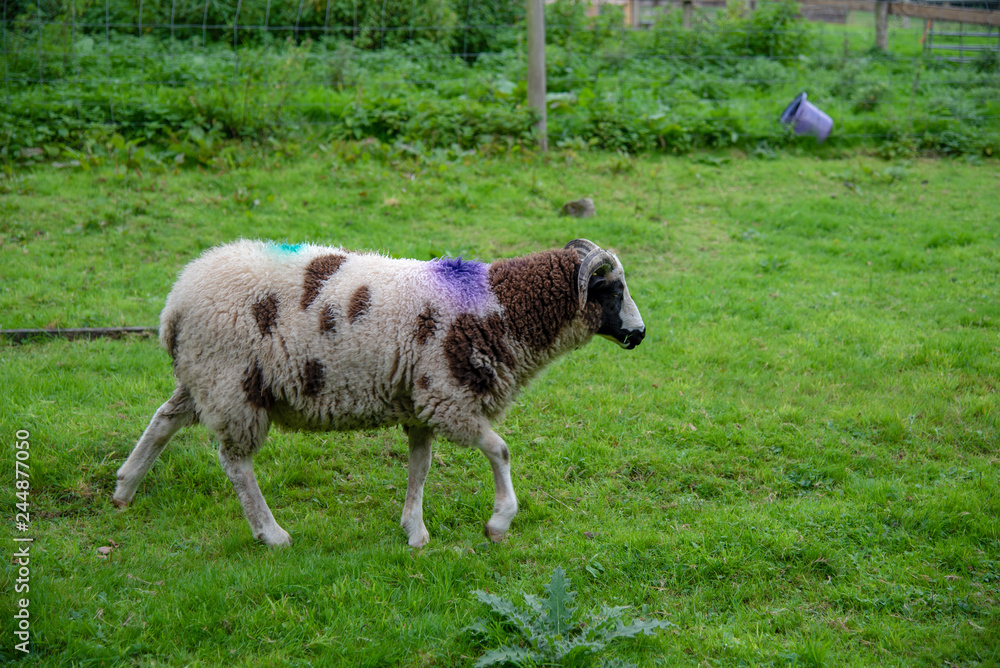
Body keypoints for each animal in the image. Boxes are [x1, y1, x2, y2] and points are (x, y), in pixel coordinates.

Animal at [113, 238, 645, 548]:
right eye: (613, 289)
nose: (640, 334)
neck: (502, 307)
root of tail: (176, 302)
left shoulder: (421, 404)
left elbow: (420, 467)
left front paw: (415, 531)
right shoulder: (448, 397)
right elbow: (501, 450)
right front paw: (499, 522)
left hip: (206, 376)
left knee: (165, 418)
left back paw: (124, 488)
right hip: (233, 383)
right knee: (235, 462)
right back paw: (271, 533)